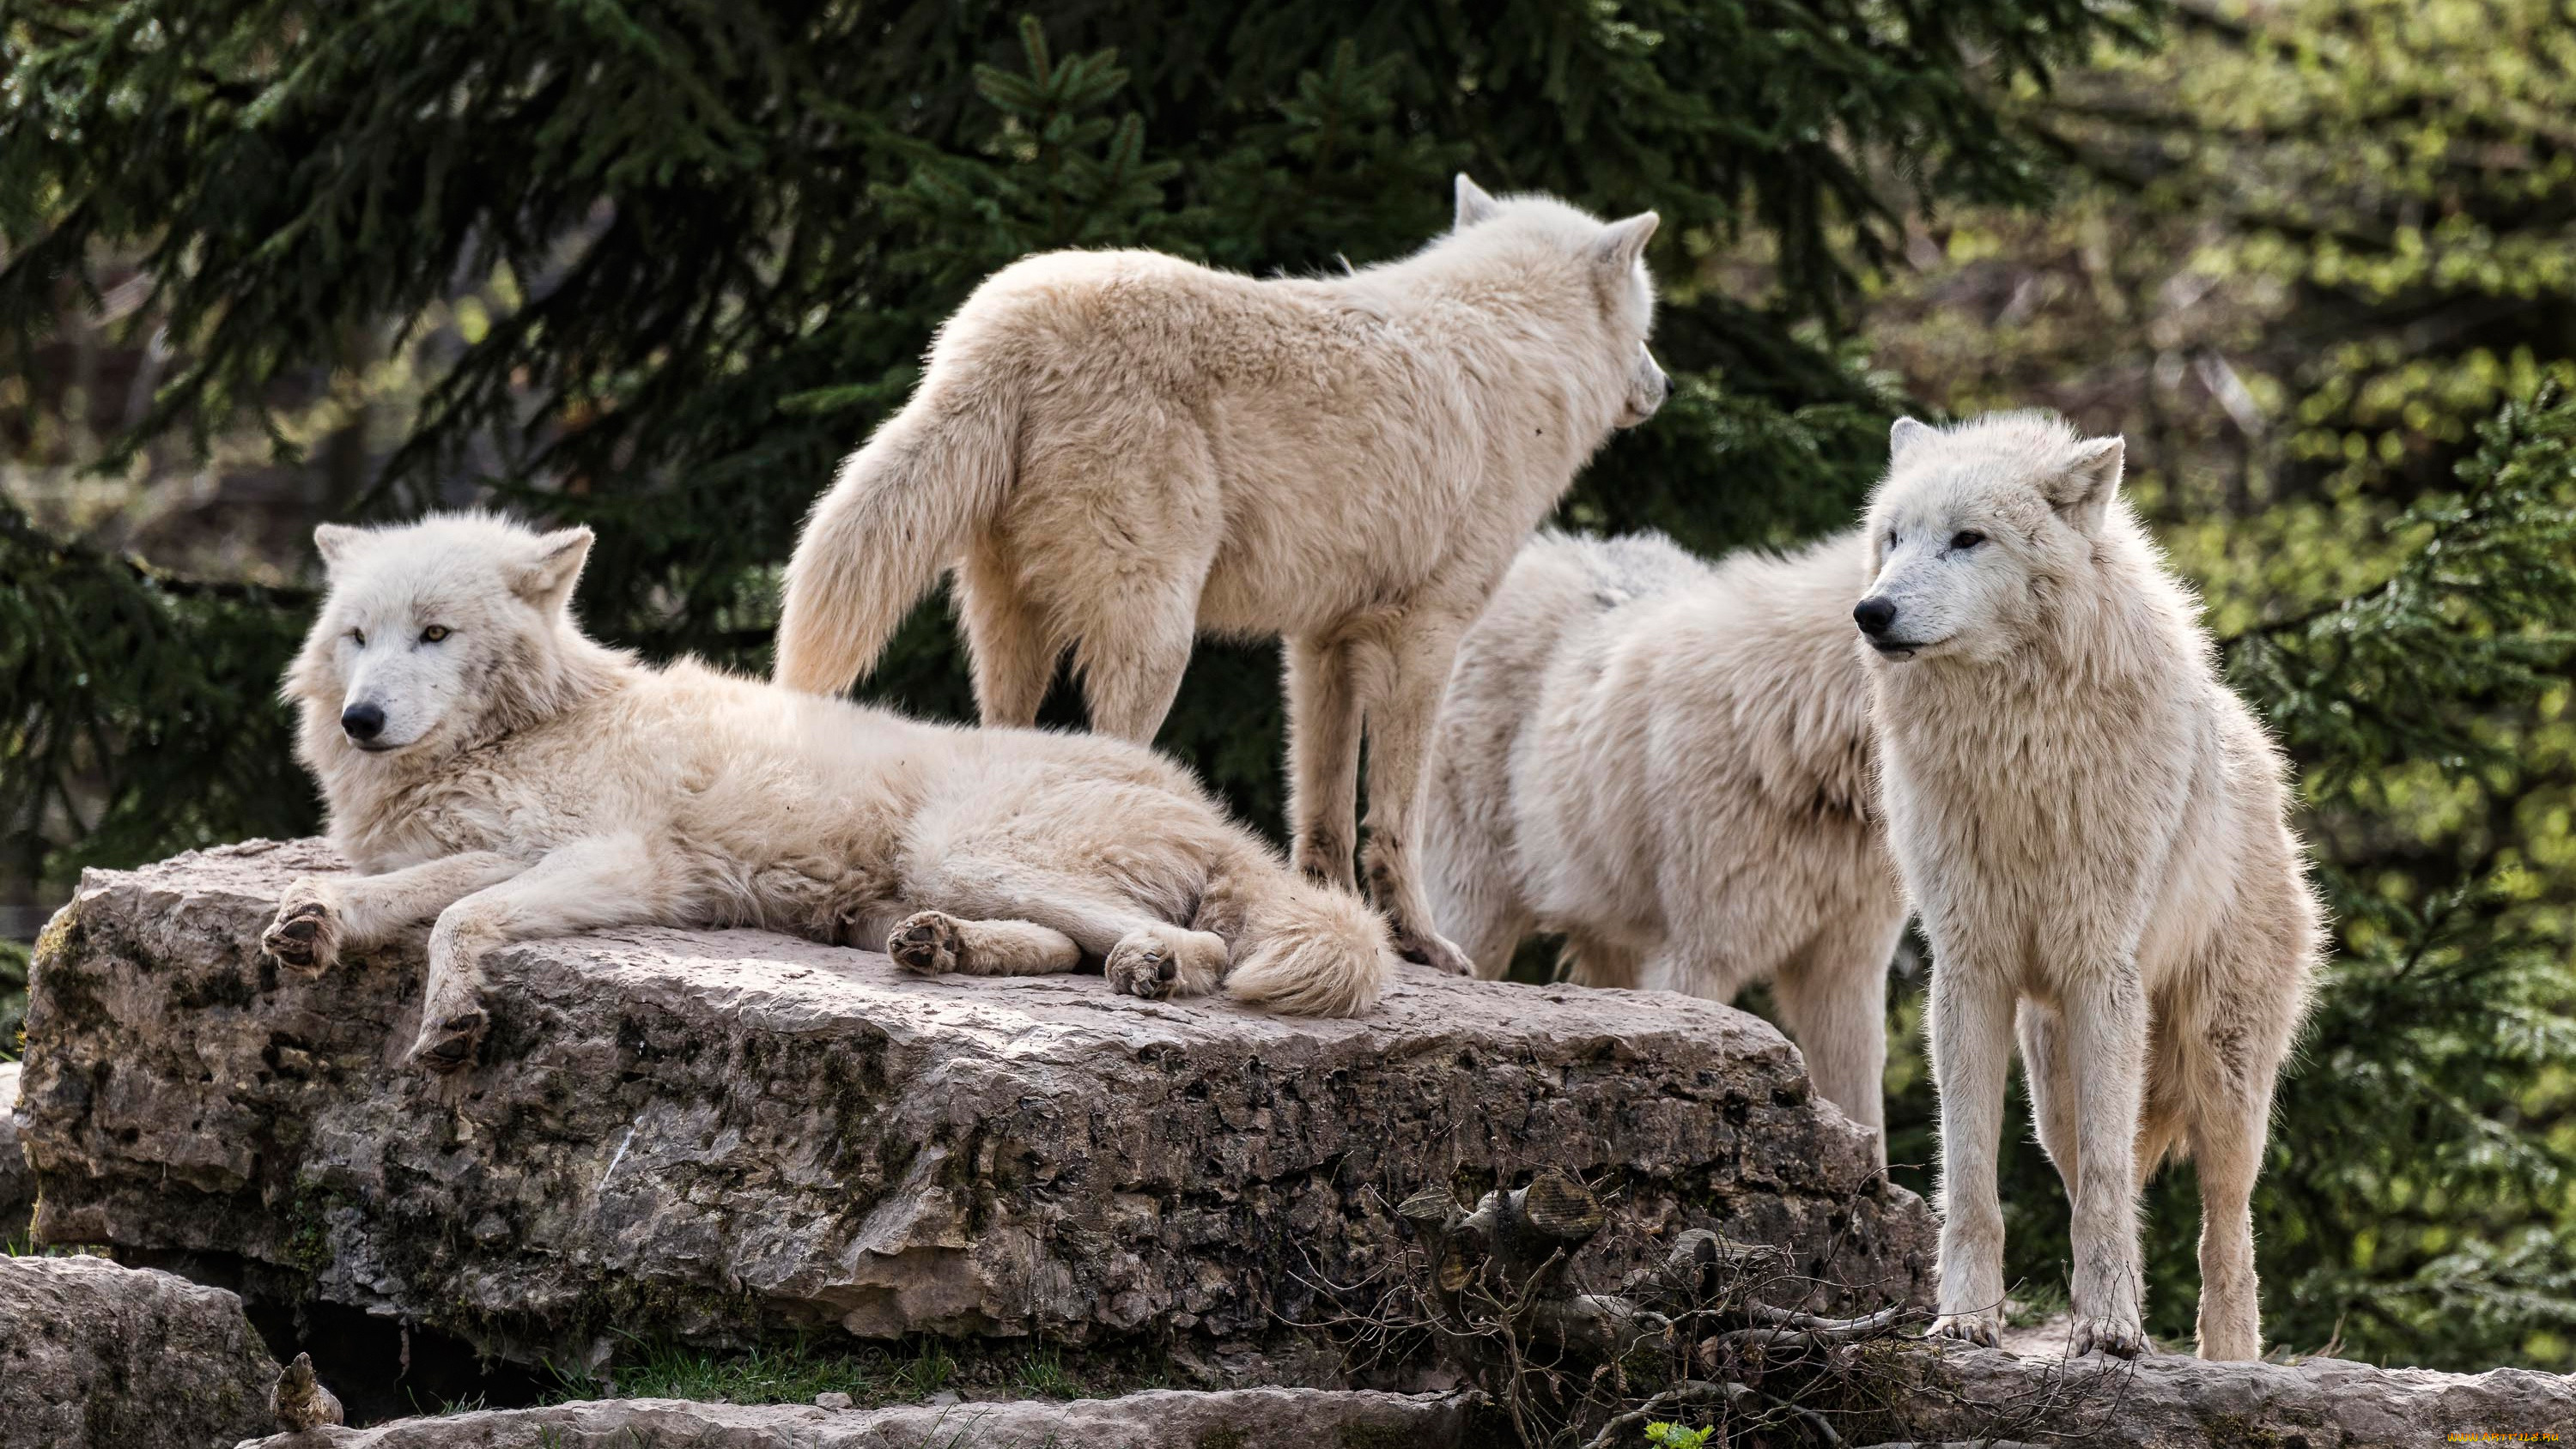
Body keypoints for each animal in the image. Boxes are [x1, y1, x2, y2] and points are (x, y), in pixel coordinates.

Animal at [266, 512, 1391, 1076]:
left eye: (435, 633)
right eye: (357, 635)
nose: (361, 718)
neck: (530, 725)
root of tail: (1198, 800)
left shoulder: (615, 860)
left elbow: (459, 916)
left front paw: (451, 1014)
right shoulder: (481, 850)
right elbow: (395, 894)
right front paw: (314, 919)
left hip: (960, 848)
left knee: (1189, 945)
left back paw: (1147, 966)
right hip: (899, 896)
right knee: (1057, 944)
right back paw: (942, 947)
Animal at [768, 176, 1669, 983]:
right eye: (1649, 324)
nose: (1663, 385)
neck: (1509, 347)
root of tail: (1003, 328)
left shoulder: (1320, 641)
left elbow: (1323, 808)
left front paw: (1337, 909)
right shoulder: (1426, 636)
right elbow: (1394, 819)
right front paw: (1423, 944)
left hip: (1010, 631)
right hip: (1157, 641)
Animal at [1865, 414, 2329, 1369]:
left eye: (1969, 539)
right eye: (1893, 538)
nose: (1872, 611)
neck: (2014, 749)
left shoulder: (2099, 970)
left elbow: (2119, 1188)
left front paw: (2112, 1330)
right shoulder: (1970, 970)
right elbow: (1971, 1179)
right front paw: (1966, 1322)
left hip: (2223, 1076)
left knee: (2227, 1231)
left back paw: (2229, 1361)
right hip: (2054, 1094)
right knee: (2089, 1178)